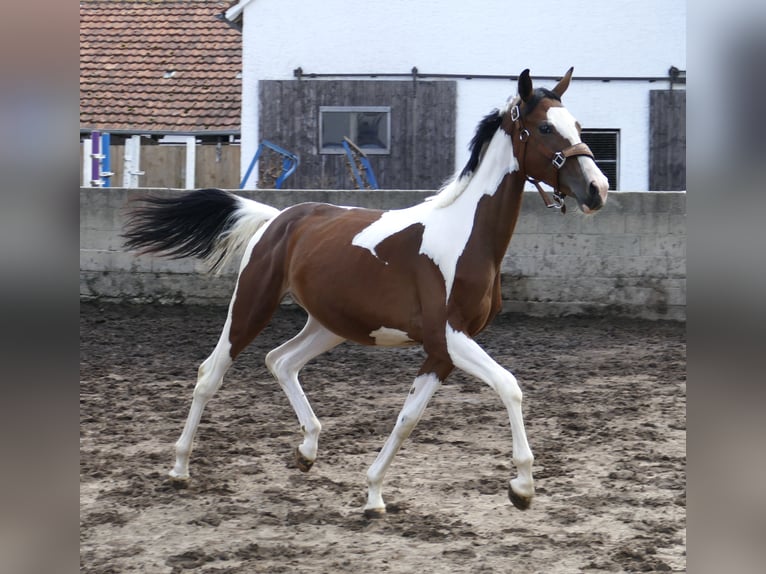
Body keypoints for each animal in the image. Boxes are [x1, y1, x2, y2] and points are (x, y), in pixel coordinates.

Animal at [124, 68, 609, 517]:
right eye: (544, 128)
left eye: (578, 125)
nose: (597, 190)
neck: (464, 236)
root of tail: (275, 219)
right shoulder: (449, 336)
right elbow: (510, 386)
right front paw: (522, 487)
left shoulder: (443, 351)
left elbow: (408, 417)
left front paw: (374, 494)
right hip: (252, 304)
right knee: (212, 373)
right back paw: (180, 469)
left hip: (329, 324)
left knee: (281, 361)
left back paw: (306, 452)